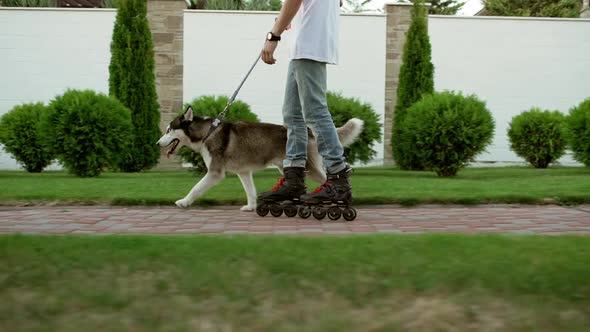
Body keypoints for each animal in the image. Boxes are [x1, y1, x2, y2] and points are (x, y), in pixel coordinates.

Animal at [158, 107, 366, 211]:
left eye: (169, 130)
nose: (157, 143)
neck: (207, 133)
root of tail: (308, 129)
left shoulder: (215, 173)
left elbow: (196, 188)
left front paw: (184, 202)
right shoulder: (244, 171)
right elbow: (250, 191)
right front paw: (251, 207)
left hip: (311, 168)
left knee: (329, 179)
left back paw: (338, 199)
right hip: (289, 167)